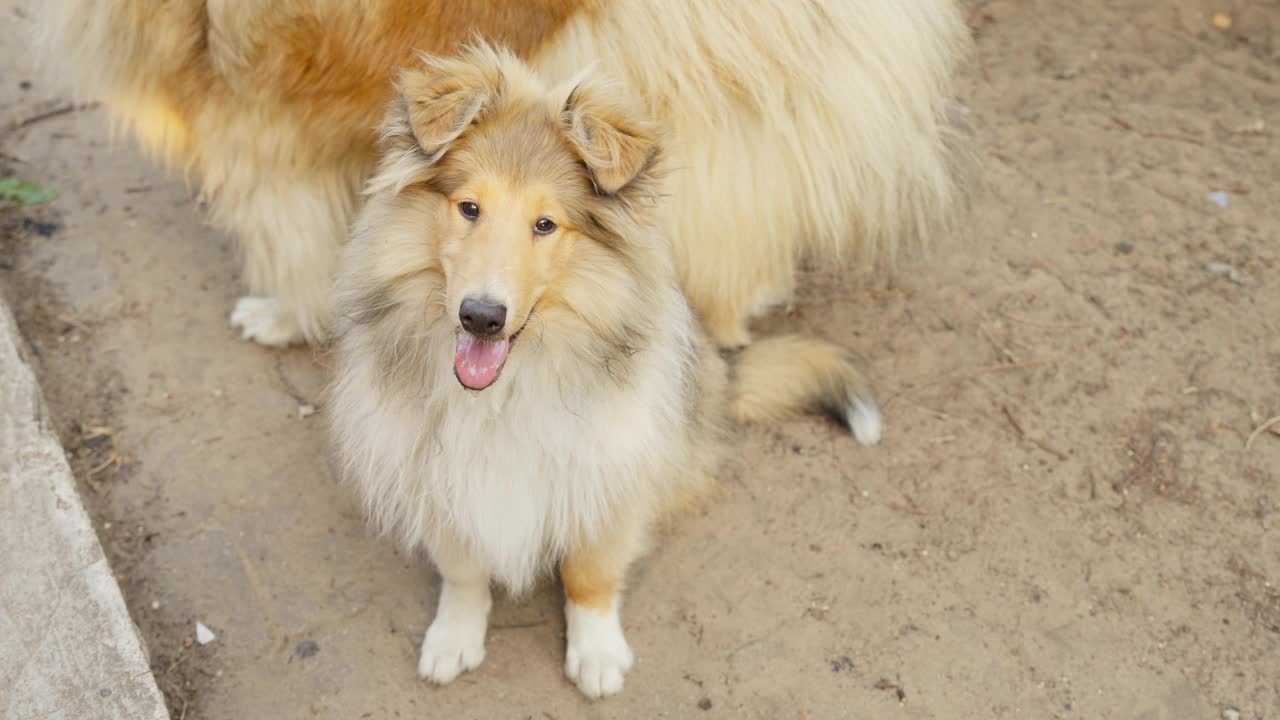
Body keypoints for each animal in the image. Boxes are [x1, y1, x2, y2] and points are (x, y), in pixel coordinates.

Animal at [327, 44, 880, 696]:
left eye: (545, 224)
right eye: (468, 208)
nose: (481, 317)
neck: (506, 389)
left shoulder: (607, 468)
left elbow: (589, 572)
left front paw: (596, 654)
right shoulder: (436, 470)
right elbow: (463, 569)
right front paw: (454, 637)